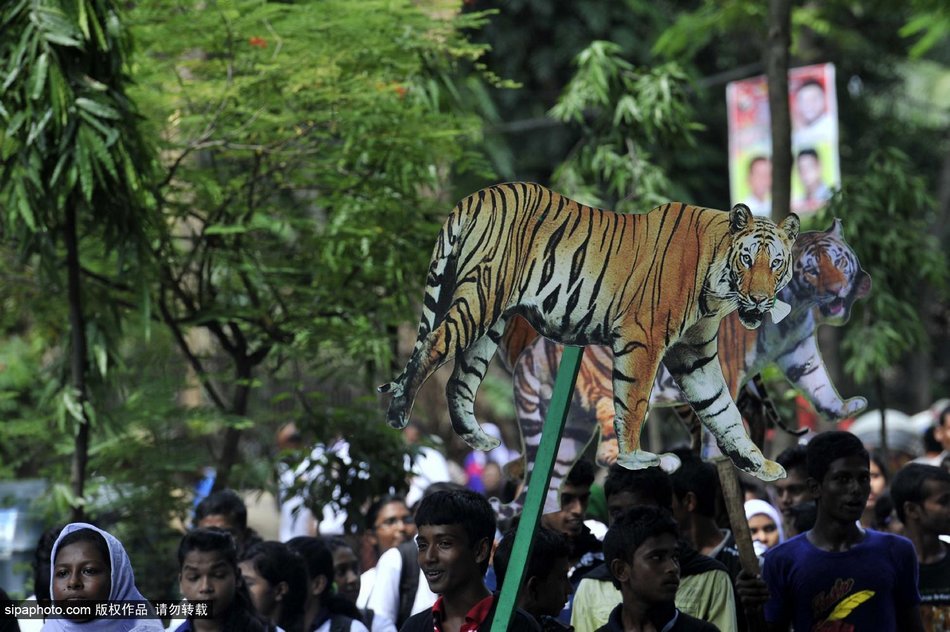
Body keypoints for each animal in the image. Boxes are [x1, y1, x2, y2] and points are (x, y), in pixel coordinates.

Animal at [380, 181, 804, 478]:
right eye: (747, 259)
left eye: (776, 262)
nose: (761, 299)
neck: (716, 292)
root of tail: (479, 195)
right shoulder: (643, 339)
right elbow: (633, 403)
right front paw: (636, 458)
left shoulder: (693, 354)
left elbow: (722, 410)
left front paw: (758, 463)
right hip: (480, 299)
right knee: (433, 342)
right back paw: (398, 413)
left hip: (489, 325)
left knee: (458, 380)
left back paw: (478, 437)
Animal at [502, 220, 872, 516]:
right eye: (812, 270)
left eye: (839, 261)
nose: (837, 291)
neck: (794, 312)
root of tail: (534, 354)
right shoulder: (727, 365)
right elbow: (721, 412)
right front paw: (717, 455)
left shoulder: (799, 349)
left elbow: (817, 382)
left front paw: (843, 407)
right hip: (611, 396)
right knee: (609, 451)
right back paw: (664, 460)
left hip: (568, 428)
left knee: (551, 473)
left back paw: (551, 514)